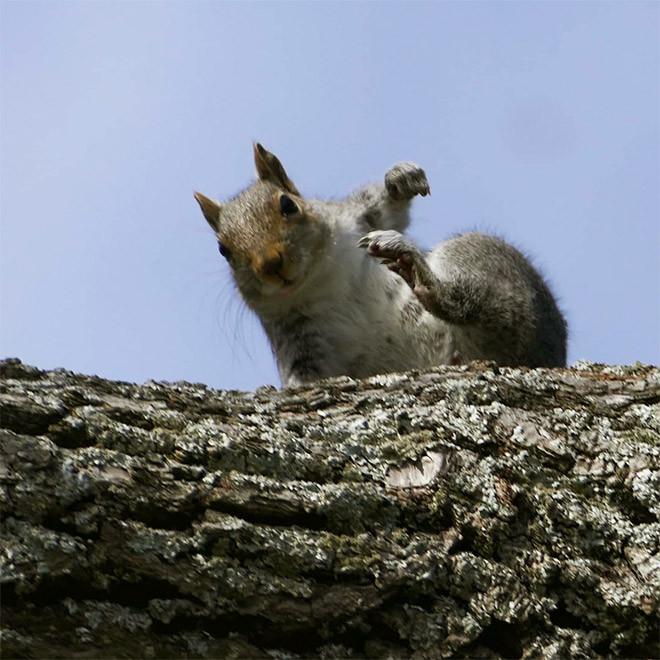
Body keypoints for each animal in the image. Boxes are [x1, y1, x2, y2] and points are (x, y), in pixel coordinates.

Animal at [192, 142, 568, 384]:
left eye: (288, 205)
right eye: (223, 250)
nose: (271, 264)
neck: (318, 281)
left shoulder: (358, 219)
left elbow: (386, 207)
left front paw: (400, 179)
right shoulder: (300, 341)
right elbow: (303, 378)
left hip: (486, 260)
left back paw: (416, 269)